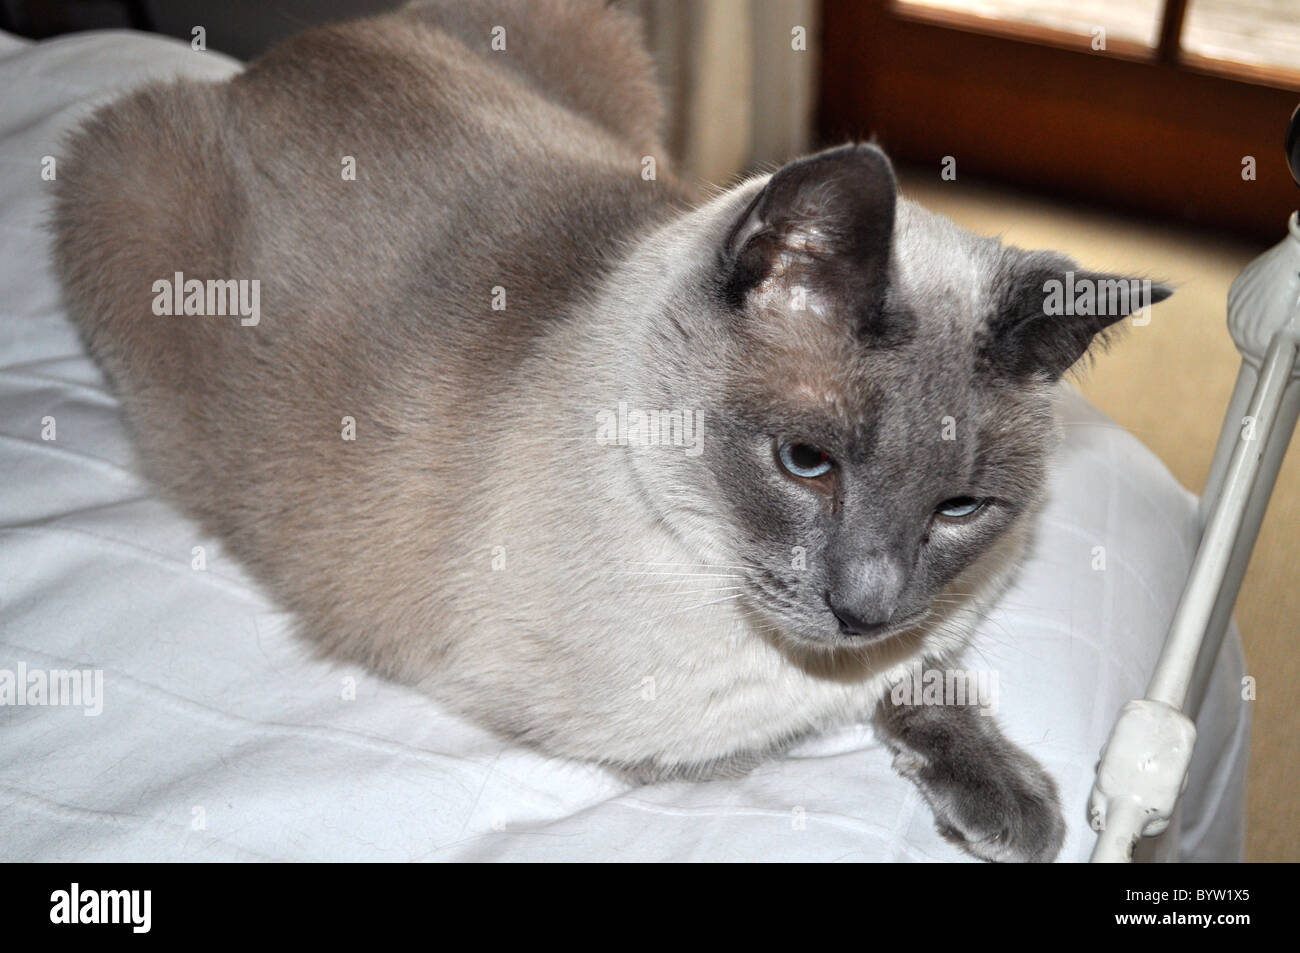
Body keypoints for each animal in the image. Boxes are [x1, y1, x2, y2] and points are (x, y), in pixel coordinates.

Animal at [50, 1, 1175, 863]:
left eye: (959, 508)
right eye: (805, 462)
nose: (864, 608)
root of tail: (295, 50)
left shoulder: (930, 623)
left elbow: (928, 669)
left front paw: (1009, 802)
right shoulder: (634, 728)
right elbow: (806, 722)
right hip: (119, 185)